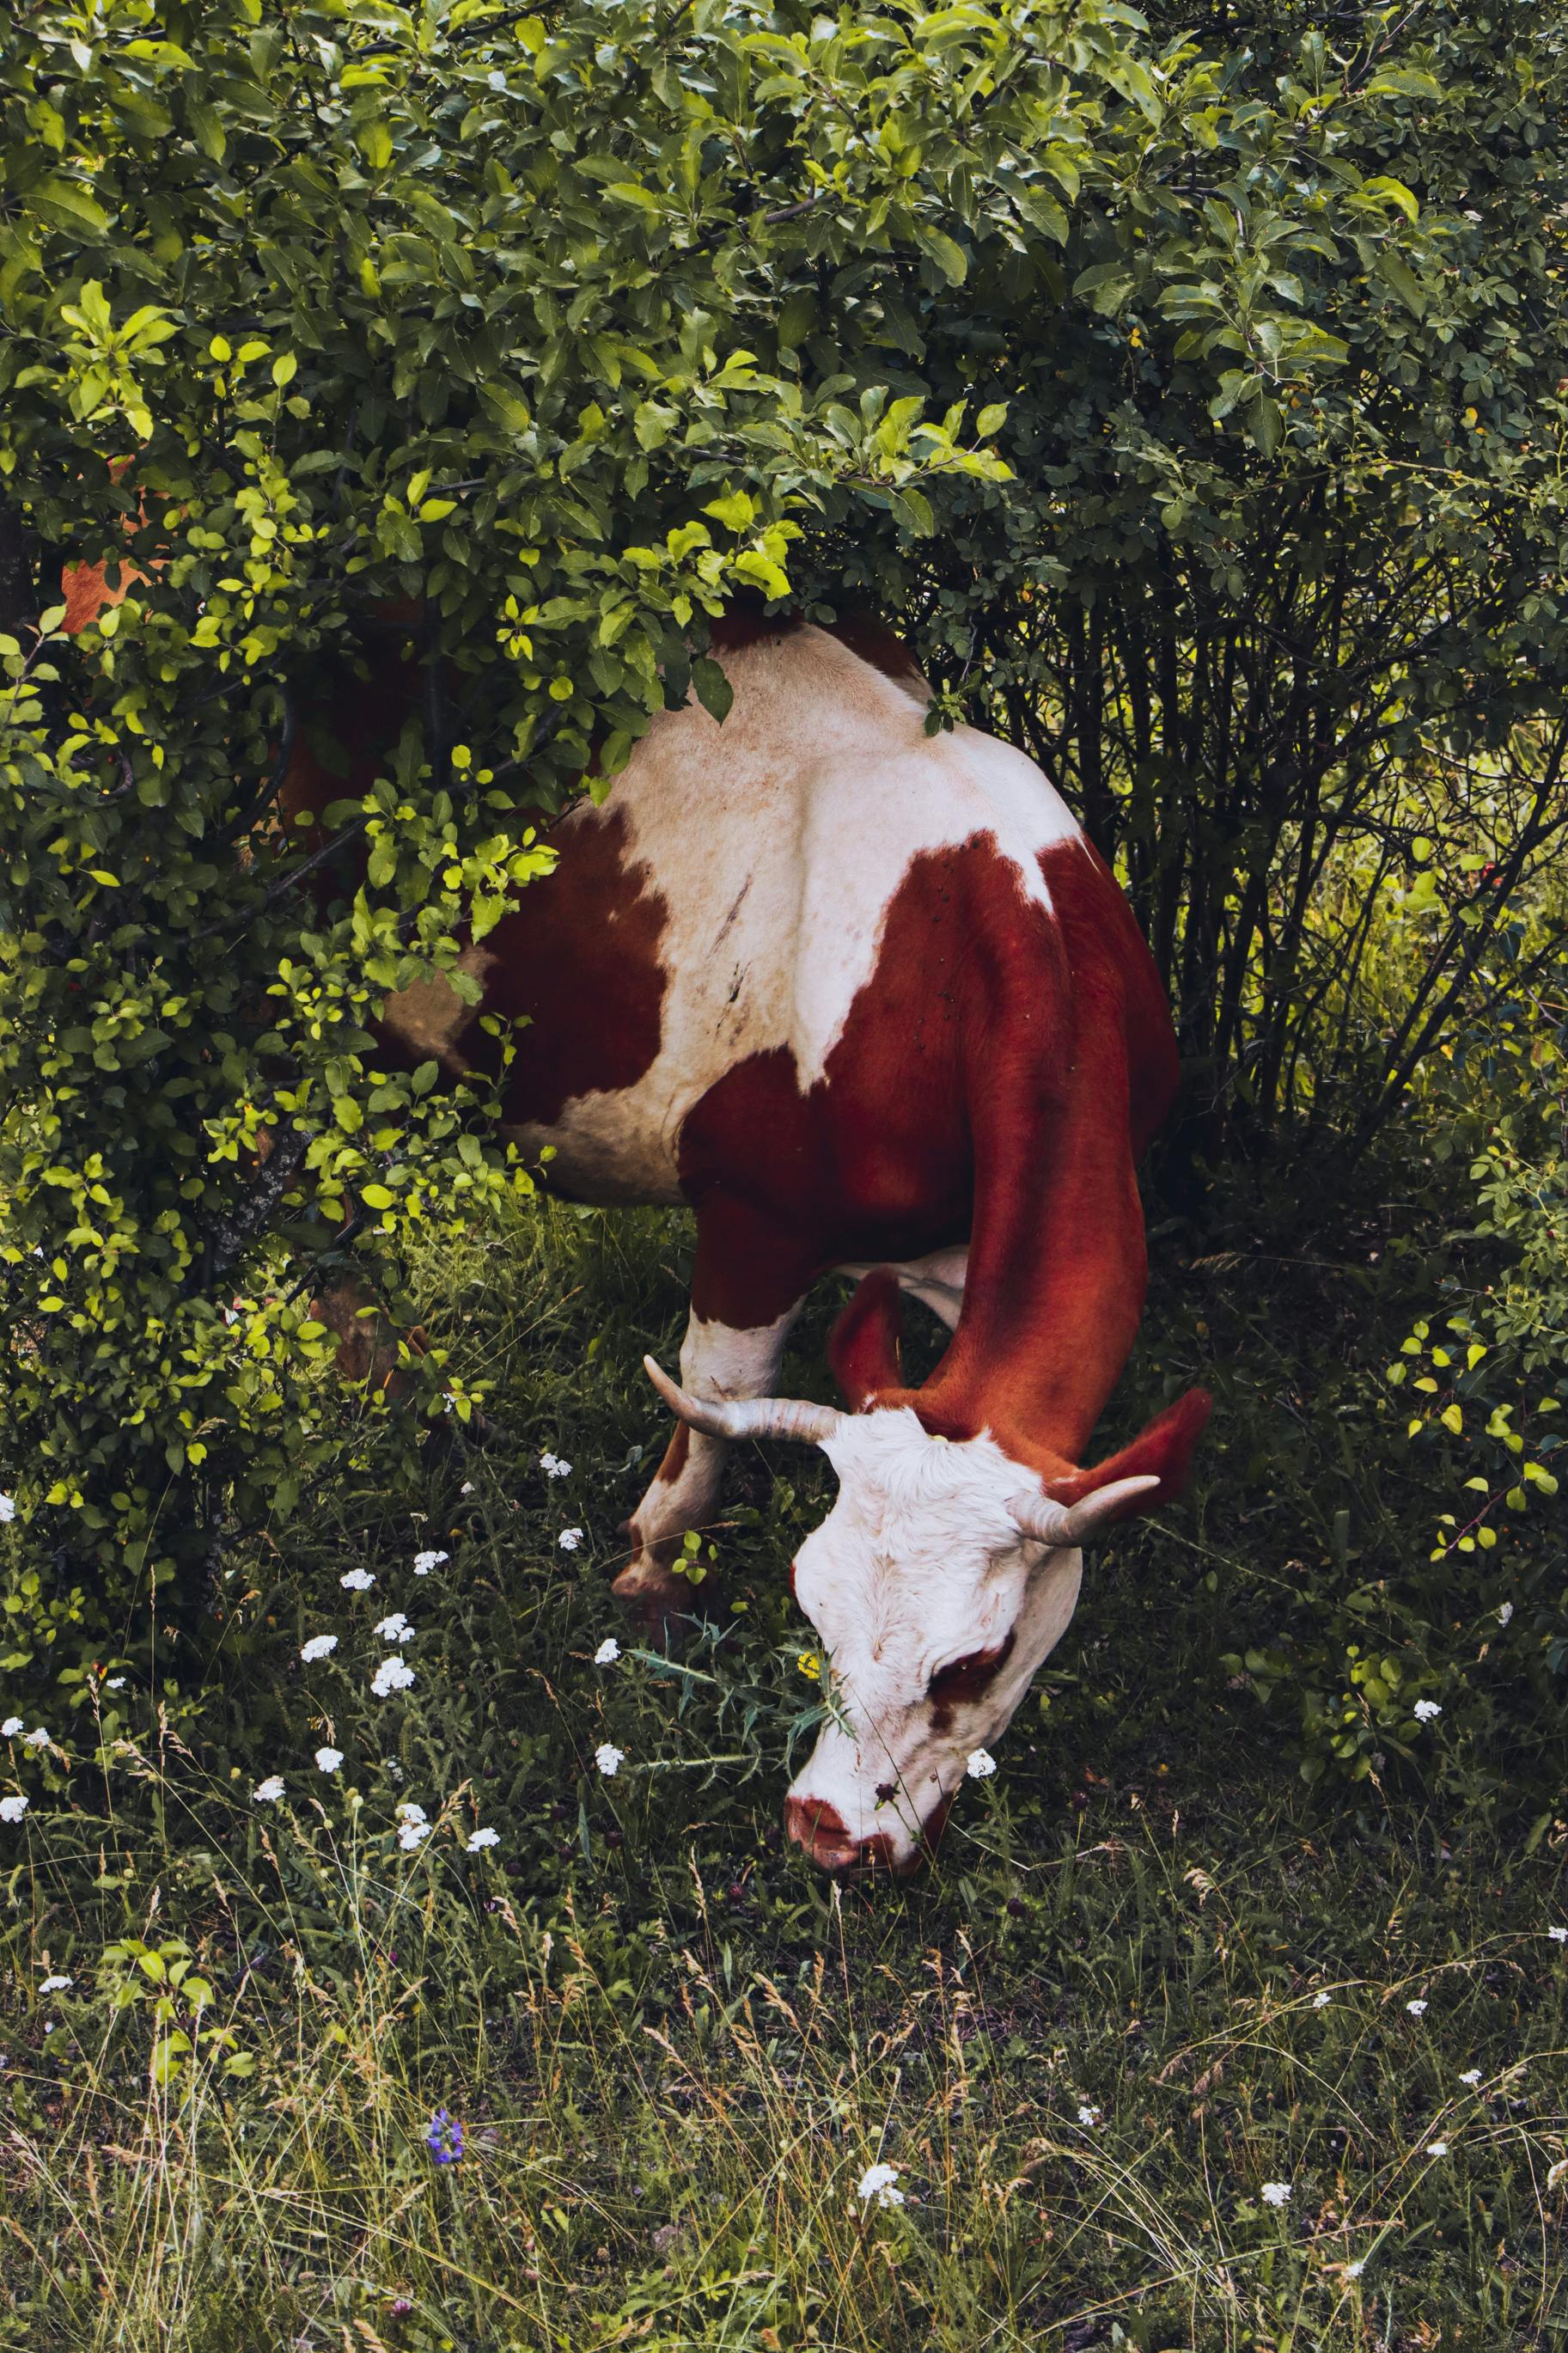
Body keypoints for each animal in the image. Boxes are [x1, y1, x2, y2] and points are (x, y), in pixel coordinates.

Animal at [59, 564, 1207, 1874]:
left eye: (975, 1659)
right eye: (809, 1603)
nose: (824, 1827)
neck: (970, 957)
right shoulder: (756, 1218)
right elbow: (715, 1400)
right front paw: (655, 1572)